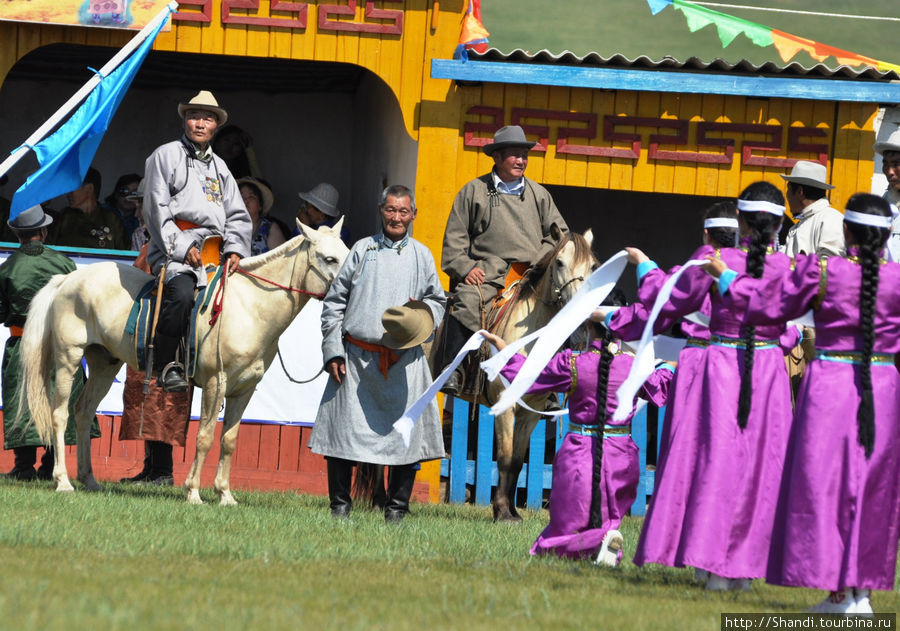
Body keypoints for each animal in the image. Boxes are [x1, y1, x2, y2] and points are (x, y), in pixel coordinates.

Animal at [18, 220, 348, 506]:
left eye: (347, 253)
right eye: (329, 258)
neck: (249, 308)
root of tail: (67, 279)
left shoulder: (244, 389)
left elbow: (229, 440)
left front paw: (225, 495)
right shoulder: (216, 383)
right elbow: (204, 437)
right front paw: (193, 492)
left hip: (104, 364)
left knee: (84, 412)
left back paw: (89, 479)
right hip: (68, 357)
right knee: (60, 414)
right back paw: (63, 480)